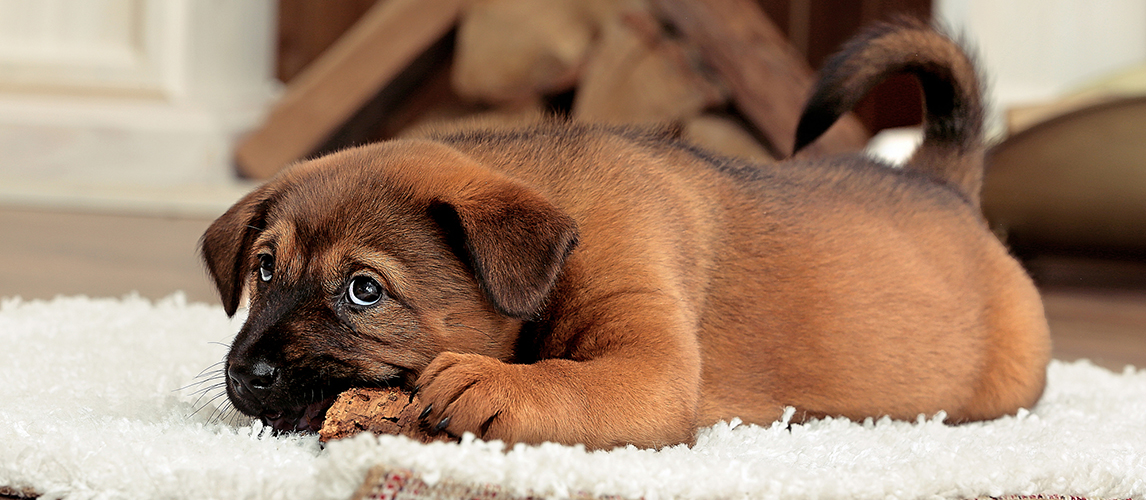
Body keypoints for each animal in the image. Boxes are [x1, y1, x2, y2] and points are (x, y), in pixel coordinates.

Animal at [199, 22, 1049, 449]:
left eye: (364, 290)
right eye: (264, 270)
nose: (248, 376)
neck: (558, 259)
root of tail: (942, 179)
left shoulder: (650, 369)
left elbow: (566, 380)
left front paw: (491, 383)